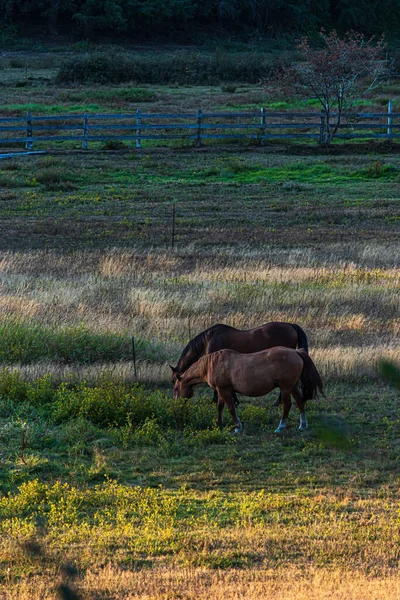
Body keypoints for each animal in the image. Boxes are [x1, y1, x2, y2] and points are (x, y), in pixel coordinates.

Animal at [170, 322, 310, 406]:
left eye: (175, 384)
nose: (175, 401)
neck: (207, 341)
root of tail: (291, 325)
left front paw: (218, 400)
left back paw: (278, 402)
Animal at [173, 346, 324, 432]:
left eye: (175, 388)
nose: (176, 403)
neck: (212, 364)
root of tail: (296, 352)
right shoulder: (221, 390)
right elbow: (220, 407)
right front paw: (218, 424)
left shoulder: (225, 390)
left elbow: (230, 408)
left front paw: (238, 427)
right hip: (293, 386)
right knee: (300, 401)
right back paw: (302, 425)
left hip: (285, 387)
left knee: (286, 405)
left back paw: (280, 427)